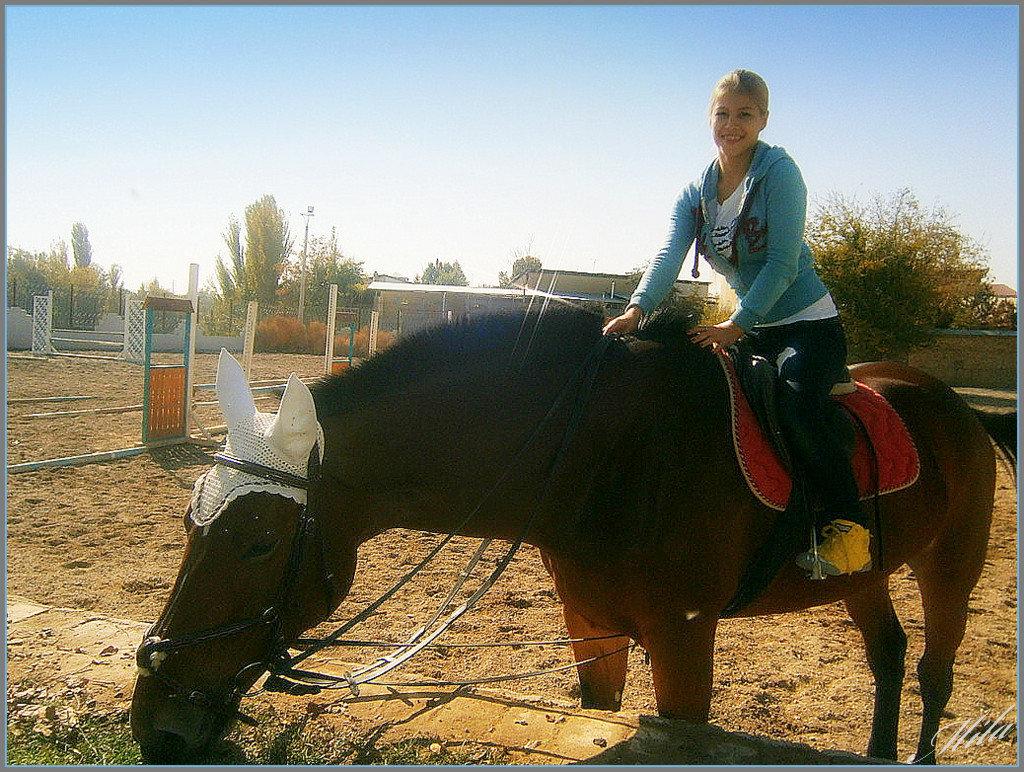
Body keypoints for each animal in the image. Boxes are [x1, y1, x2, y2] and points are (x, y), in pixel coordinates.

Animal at [130, 303, 1015, 761]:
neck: (596, 452)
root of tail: (956, 405)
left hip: (952, 566)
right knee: (888, 654)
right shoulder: (592, 627)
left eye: (257, 541)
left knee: (933, 670)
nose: (157, 724)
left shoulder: (684, 639)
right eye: (188, 522)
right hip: (867, 572)